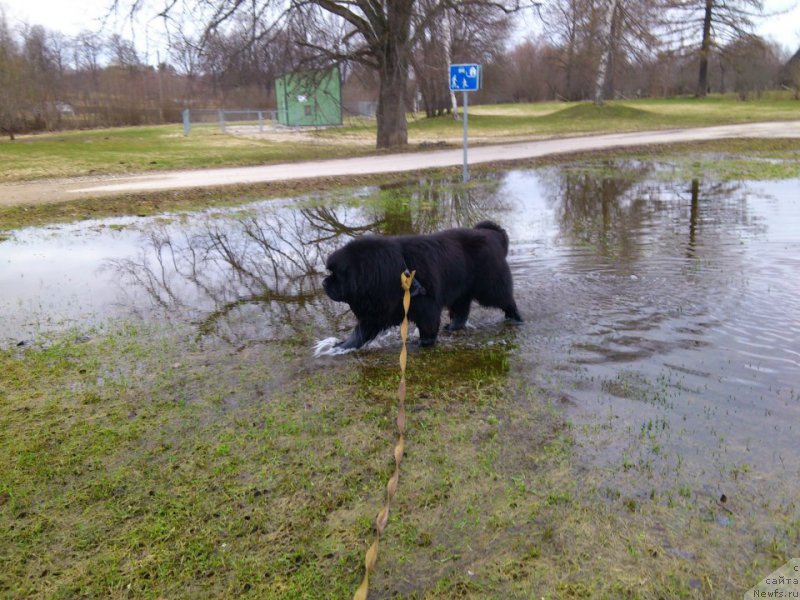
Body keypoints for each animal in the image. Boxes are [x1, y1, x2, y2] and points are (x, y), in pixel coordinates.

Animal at [322, 221, 520, 350]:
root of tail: (493, 235)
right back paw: (454, 326)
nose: (324, 282)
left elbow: (428, 325)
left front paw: (424, 342)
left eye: (336, 275)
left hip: (490, 287)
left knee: (506, 301)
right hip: (461, 291)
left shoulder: (426, 306)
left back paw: (516, 319)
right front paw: (340, 347)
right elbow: (359, 333)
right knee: (461, 311)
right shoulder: (377, 311)